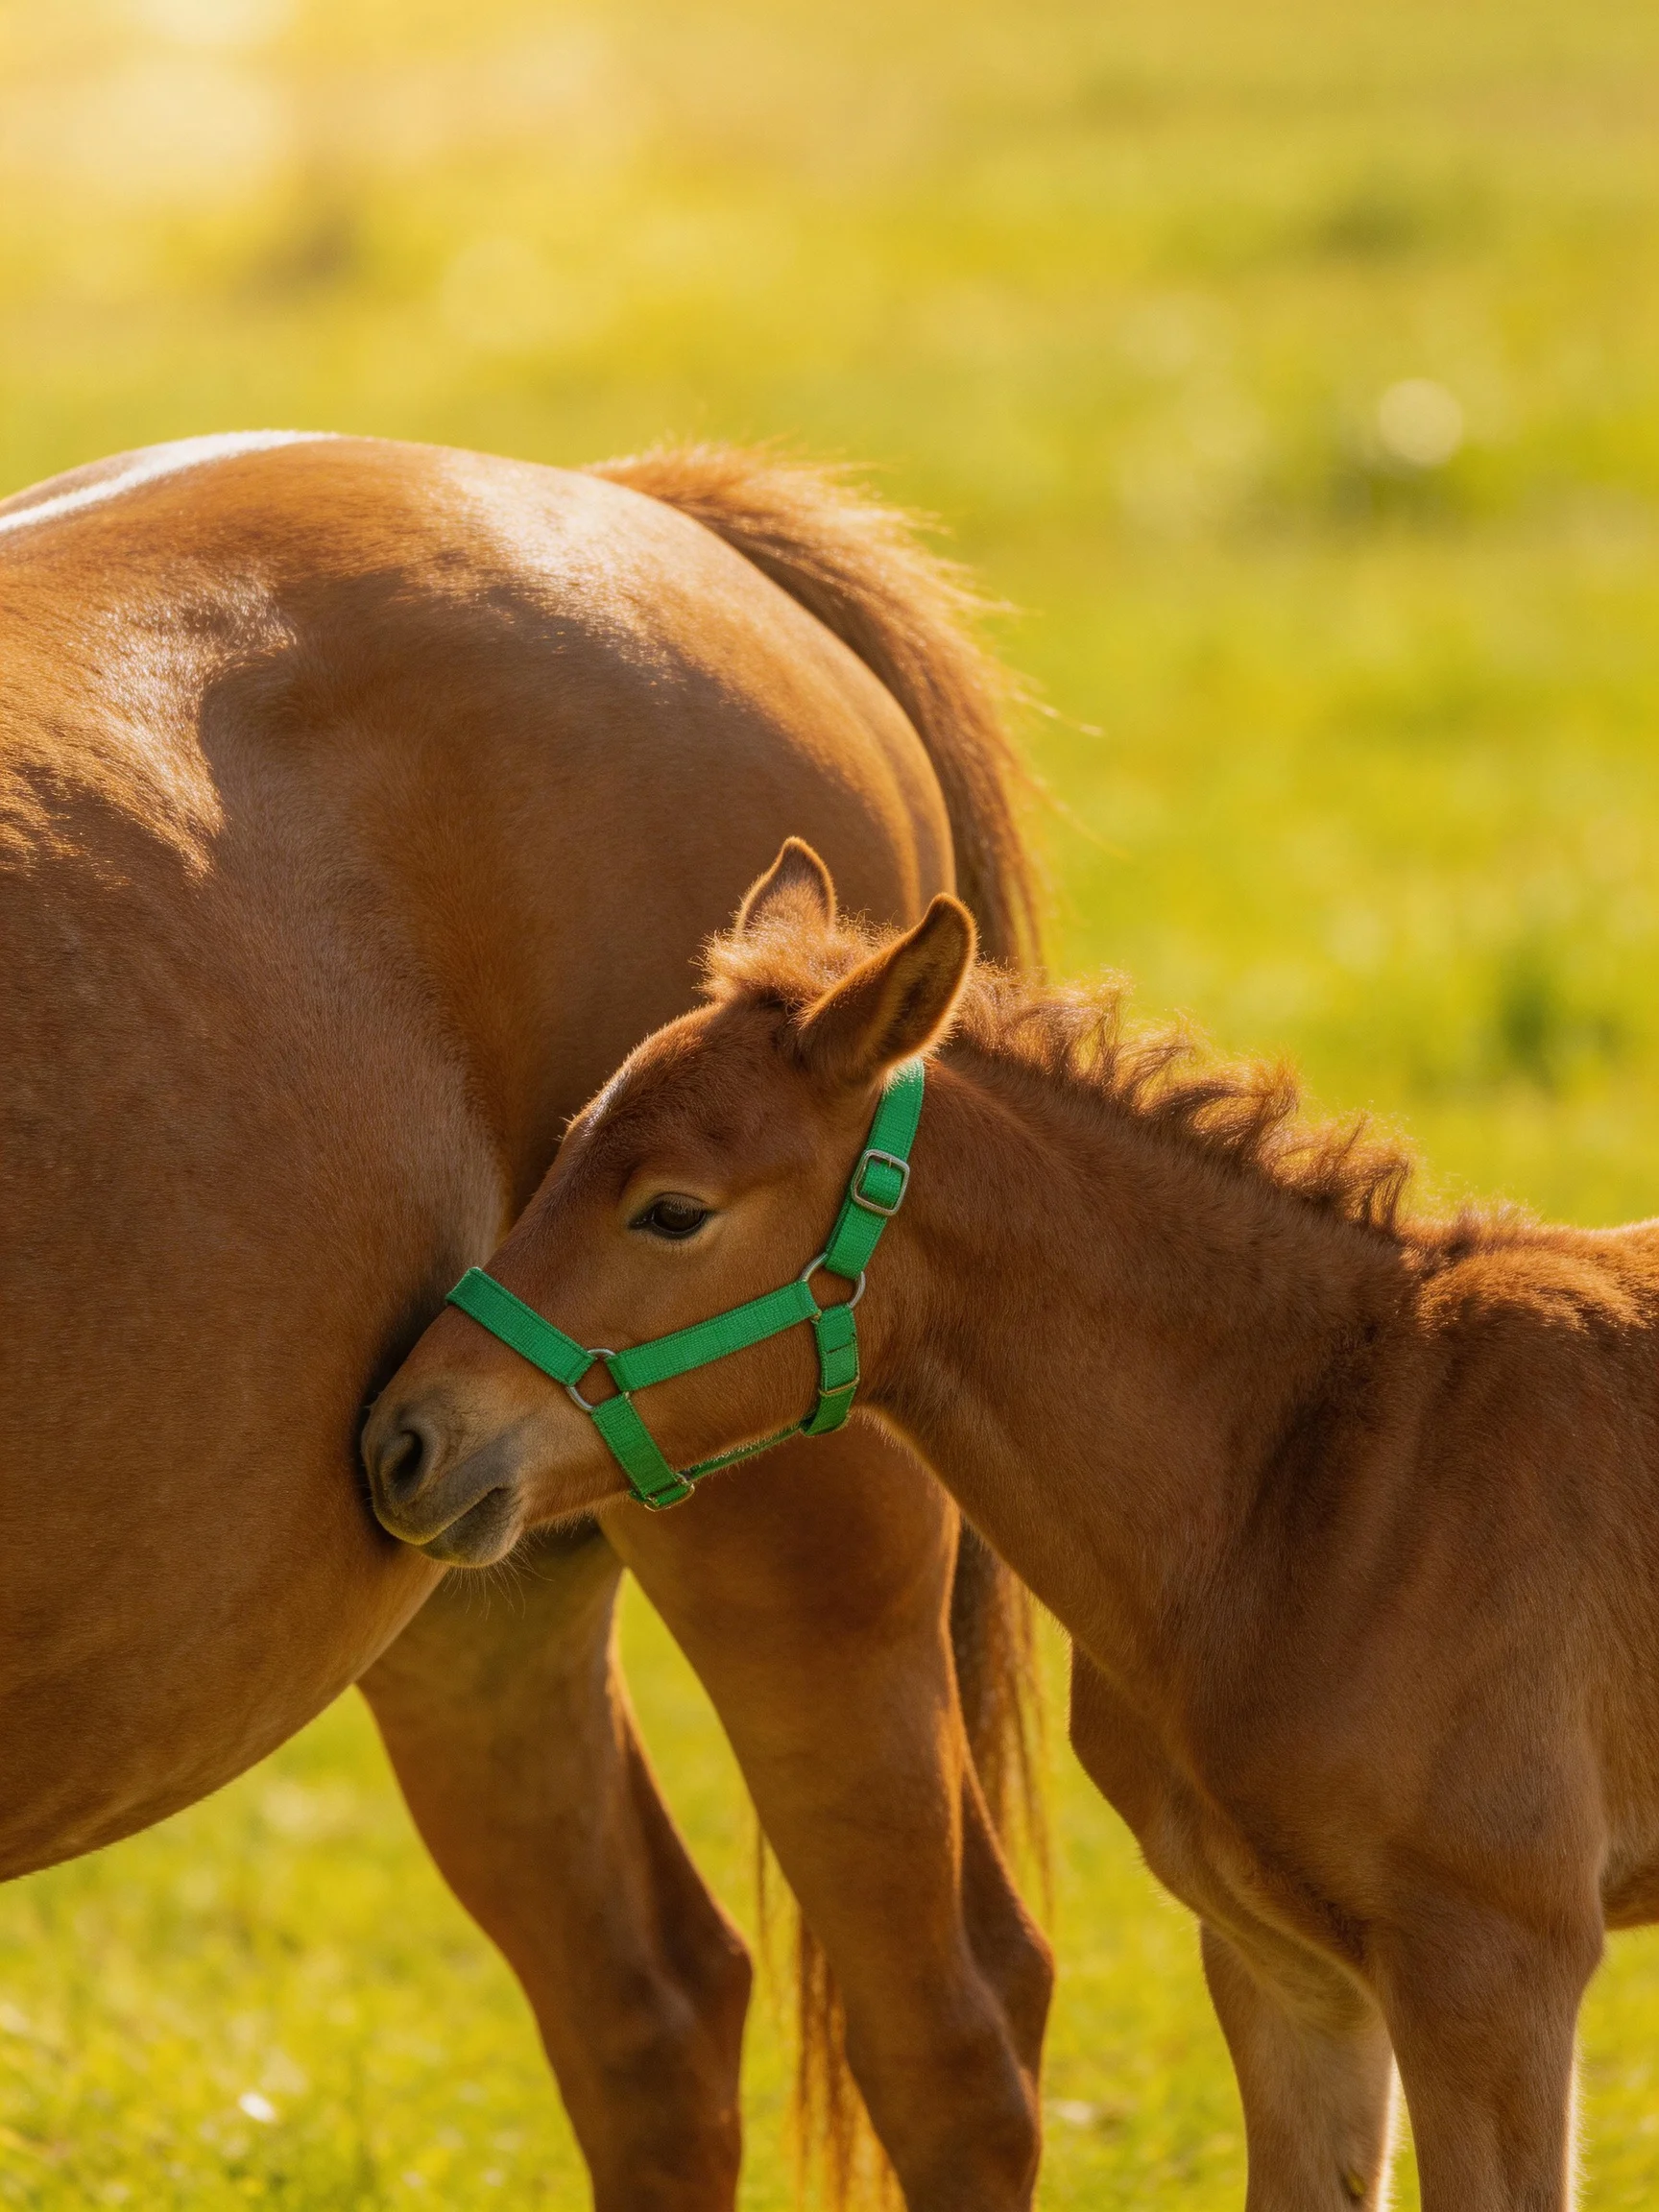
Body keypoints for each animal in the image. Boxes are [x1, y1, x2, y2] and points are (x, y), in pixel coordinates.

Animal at [0, 445, 1055, 2212]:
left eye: (668, 1205)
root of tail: (634, 496)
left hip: (802, 1553)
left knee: (955, 2034)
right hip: (479, 1590)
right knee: (653, 2006)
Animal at [372, 833, 1659, 2212]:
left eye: (673, 1210)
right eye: (563, 1151)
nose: (404, 1440)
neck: (1321, 1478)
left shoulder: (1495, 1965)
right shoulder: (1283, 1967)